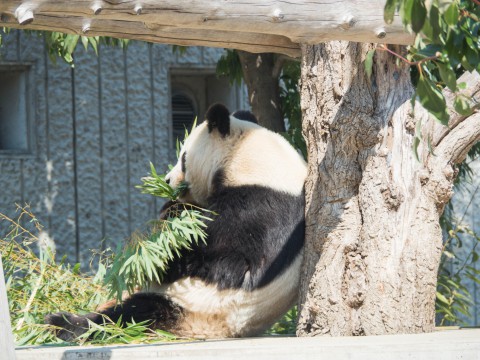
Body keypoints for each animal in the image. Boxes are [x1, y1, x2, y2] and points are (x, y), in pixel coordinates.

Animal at [46, 103, 308, 340]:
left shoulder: (260, 209)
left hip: (192, 308)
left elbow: (226, 262)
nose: (167, 180)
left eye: (183, 158)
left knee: (130, 315)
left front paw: (154, 256)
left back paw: (63, 324)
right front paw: (170, 211)